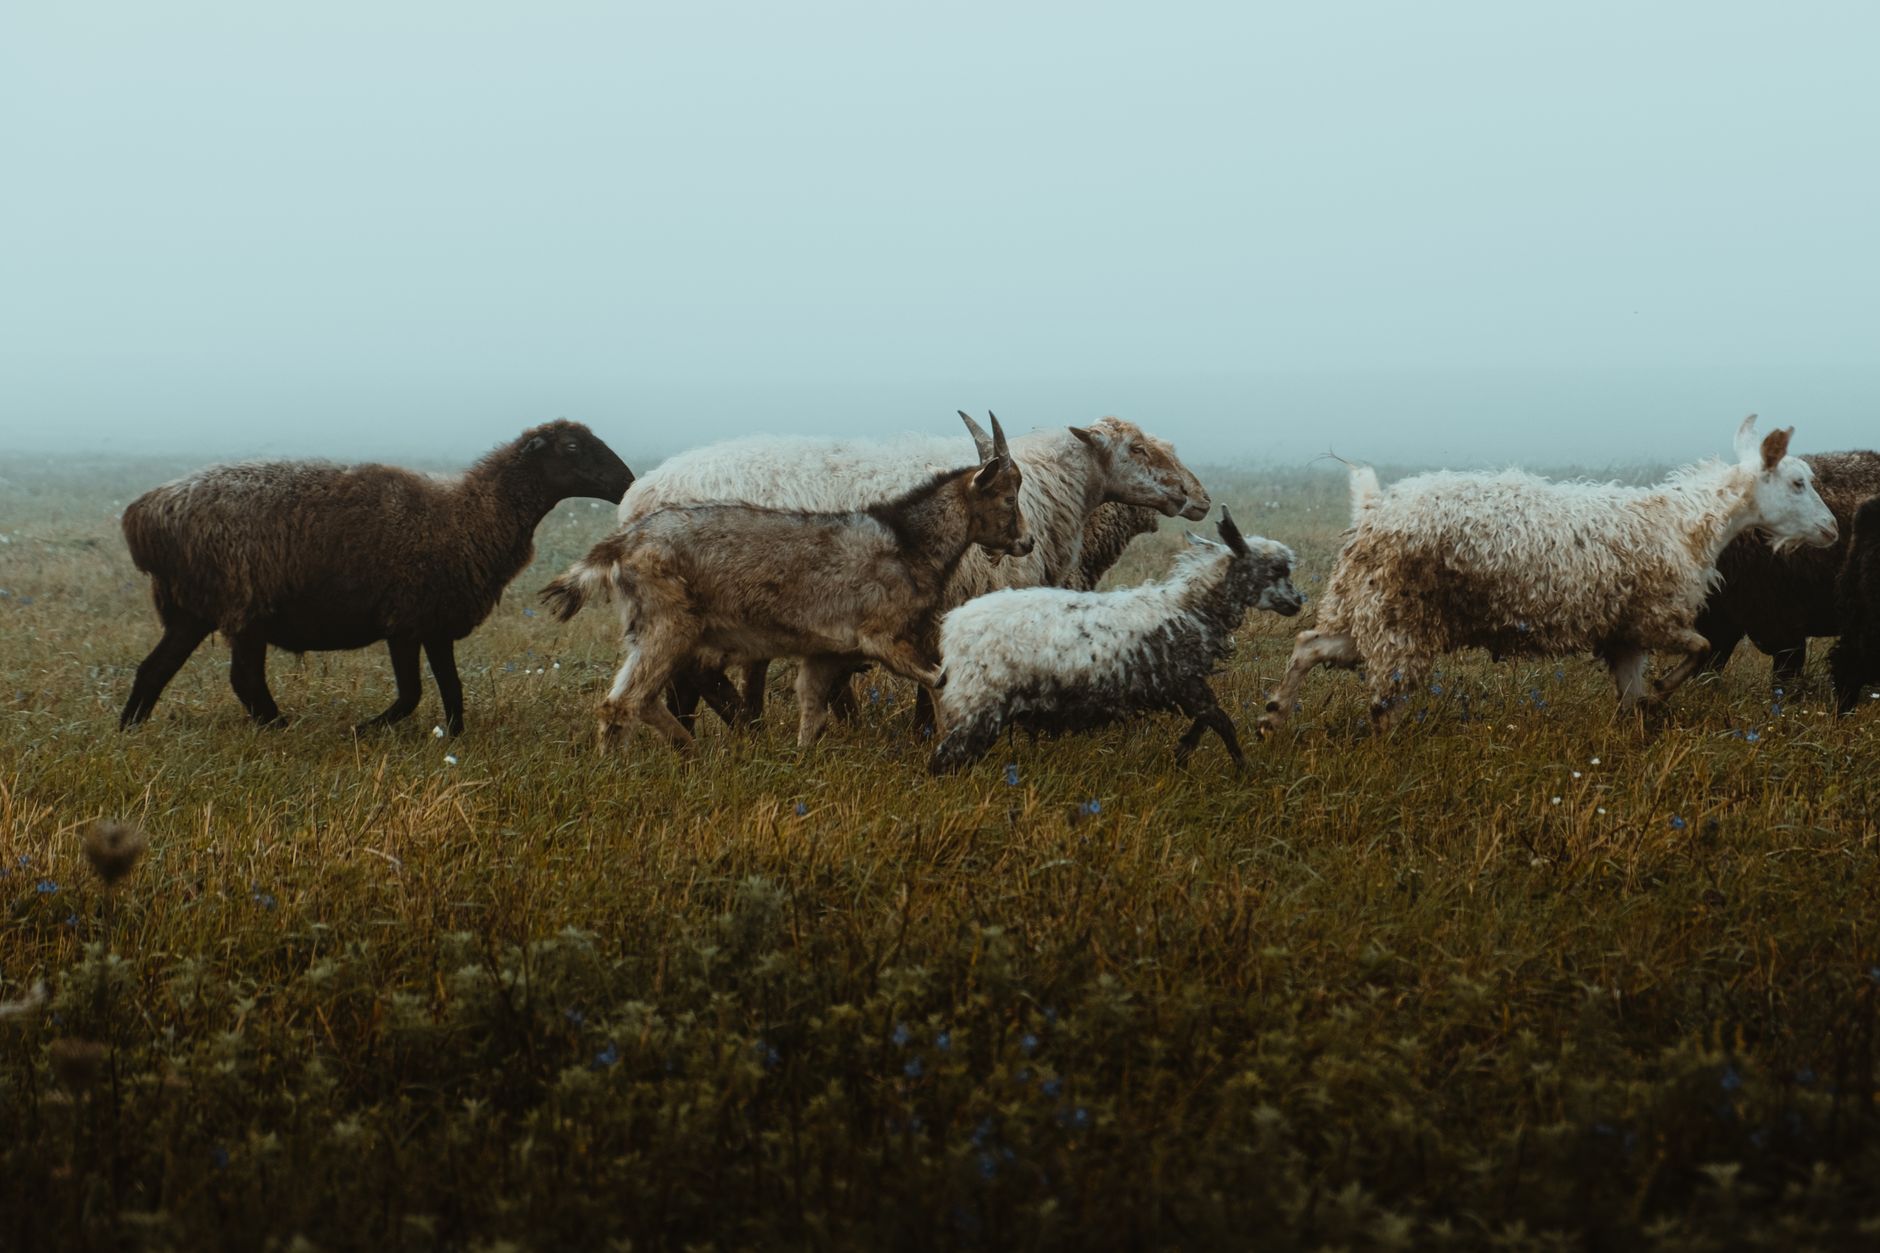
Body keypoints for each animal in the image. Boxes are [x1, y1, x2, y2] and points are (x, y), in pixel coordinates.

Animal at [118, 420, 634, 735]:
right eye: (572, 447)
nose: (627, 483)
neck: (472, 513)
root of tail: (145, 513)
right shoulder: (404, 621)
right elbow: (412, 693)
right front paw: (365, 729)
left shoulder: (435, 623)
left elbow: (452, 689)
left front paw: (455, 737)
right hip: (243, 604)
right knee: (244, 679)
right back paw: (280, 729)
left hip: (193, 609)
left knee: (153, 669)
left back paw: (129, 729)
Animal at [541, 435, 1031, 750]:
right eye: (1008, 499)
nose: (1026, 543)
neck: (905, 541)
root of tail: (620, 544)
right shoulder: (884, 637)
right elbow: (939, 680)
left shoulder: (825, 651)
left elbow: (812, 711)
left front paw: (802, 761)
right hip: (670, 628)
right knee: (628, 702)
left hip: (643, 634)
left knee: (621, 703)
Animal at [614, 411, 1209, 727]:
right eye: (1137, 448)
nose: (1200, 498)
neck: (1045, 491)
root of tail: (637, 496)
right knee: (696, 676)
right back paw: (737, 727)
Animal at [929, 506, 1300, 773]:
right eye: (1276, 570)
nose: (1298, 602)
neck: (1191, 607)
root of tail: (953, 629)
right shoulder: (1184, 681)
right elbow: (1221, 721)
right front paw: (1243, 769)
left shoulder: (1183, 684)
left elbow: (1208, 720)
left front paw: (1183, 752)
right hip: (981, 699)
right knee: (944, 758)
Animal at [1256, 416, 1840, 735]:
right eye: (1797, 482)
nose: (1833, 529)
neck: (1685, 523)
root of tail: (1373, 508)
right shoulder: (1654, 617)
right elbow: (1698, 649)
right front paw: (1663, 689)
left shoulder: (1625, 634)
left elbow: (1633, 699)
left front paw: (1644, 710)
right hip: (1398, 619)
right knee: (1380, 704)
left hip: (1364, 610)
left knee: (1309, 644)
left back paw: (1272, 717)